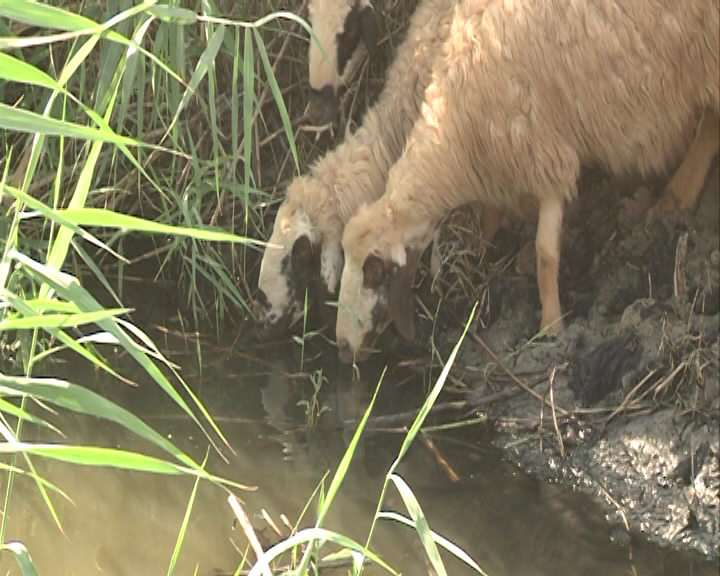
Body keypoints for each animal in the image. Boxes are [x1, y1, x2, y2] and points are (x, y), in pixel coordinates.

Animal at [334, 0, 716, 364]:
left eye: (373, 271)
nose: (341, 346)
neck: (456, 132)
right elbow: (490, 215)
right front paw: (481, 250)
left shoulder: (544, 154)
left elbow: (545, 253)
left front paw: (551, 326)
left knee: (711, 123)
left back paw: (679, 192)